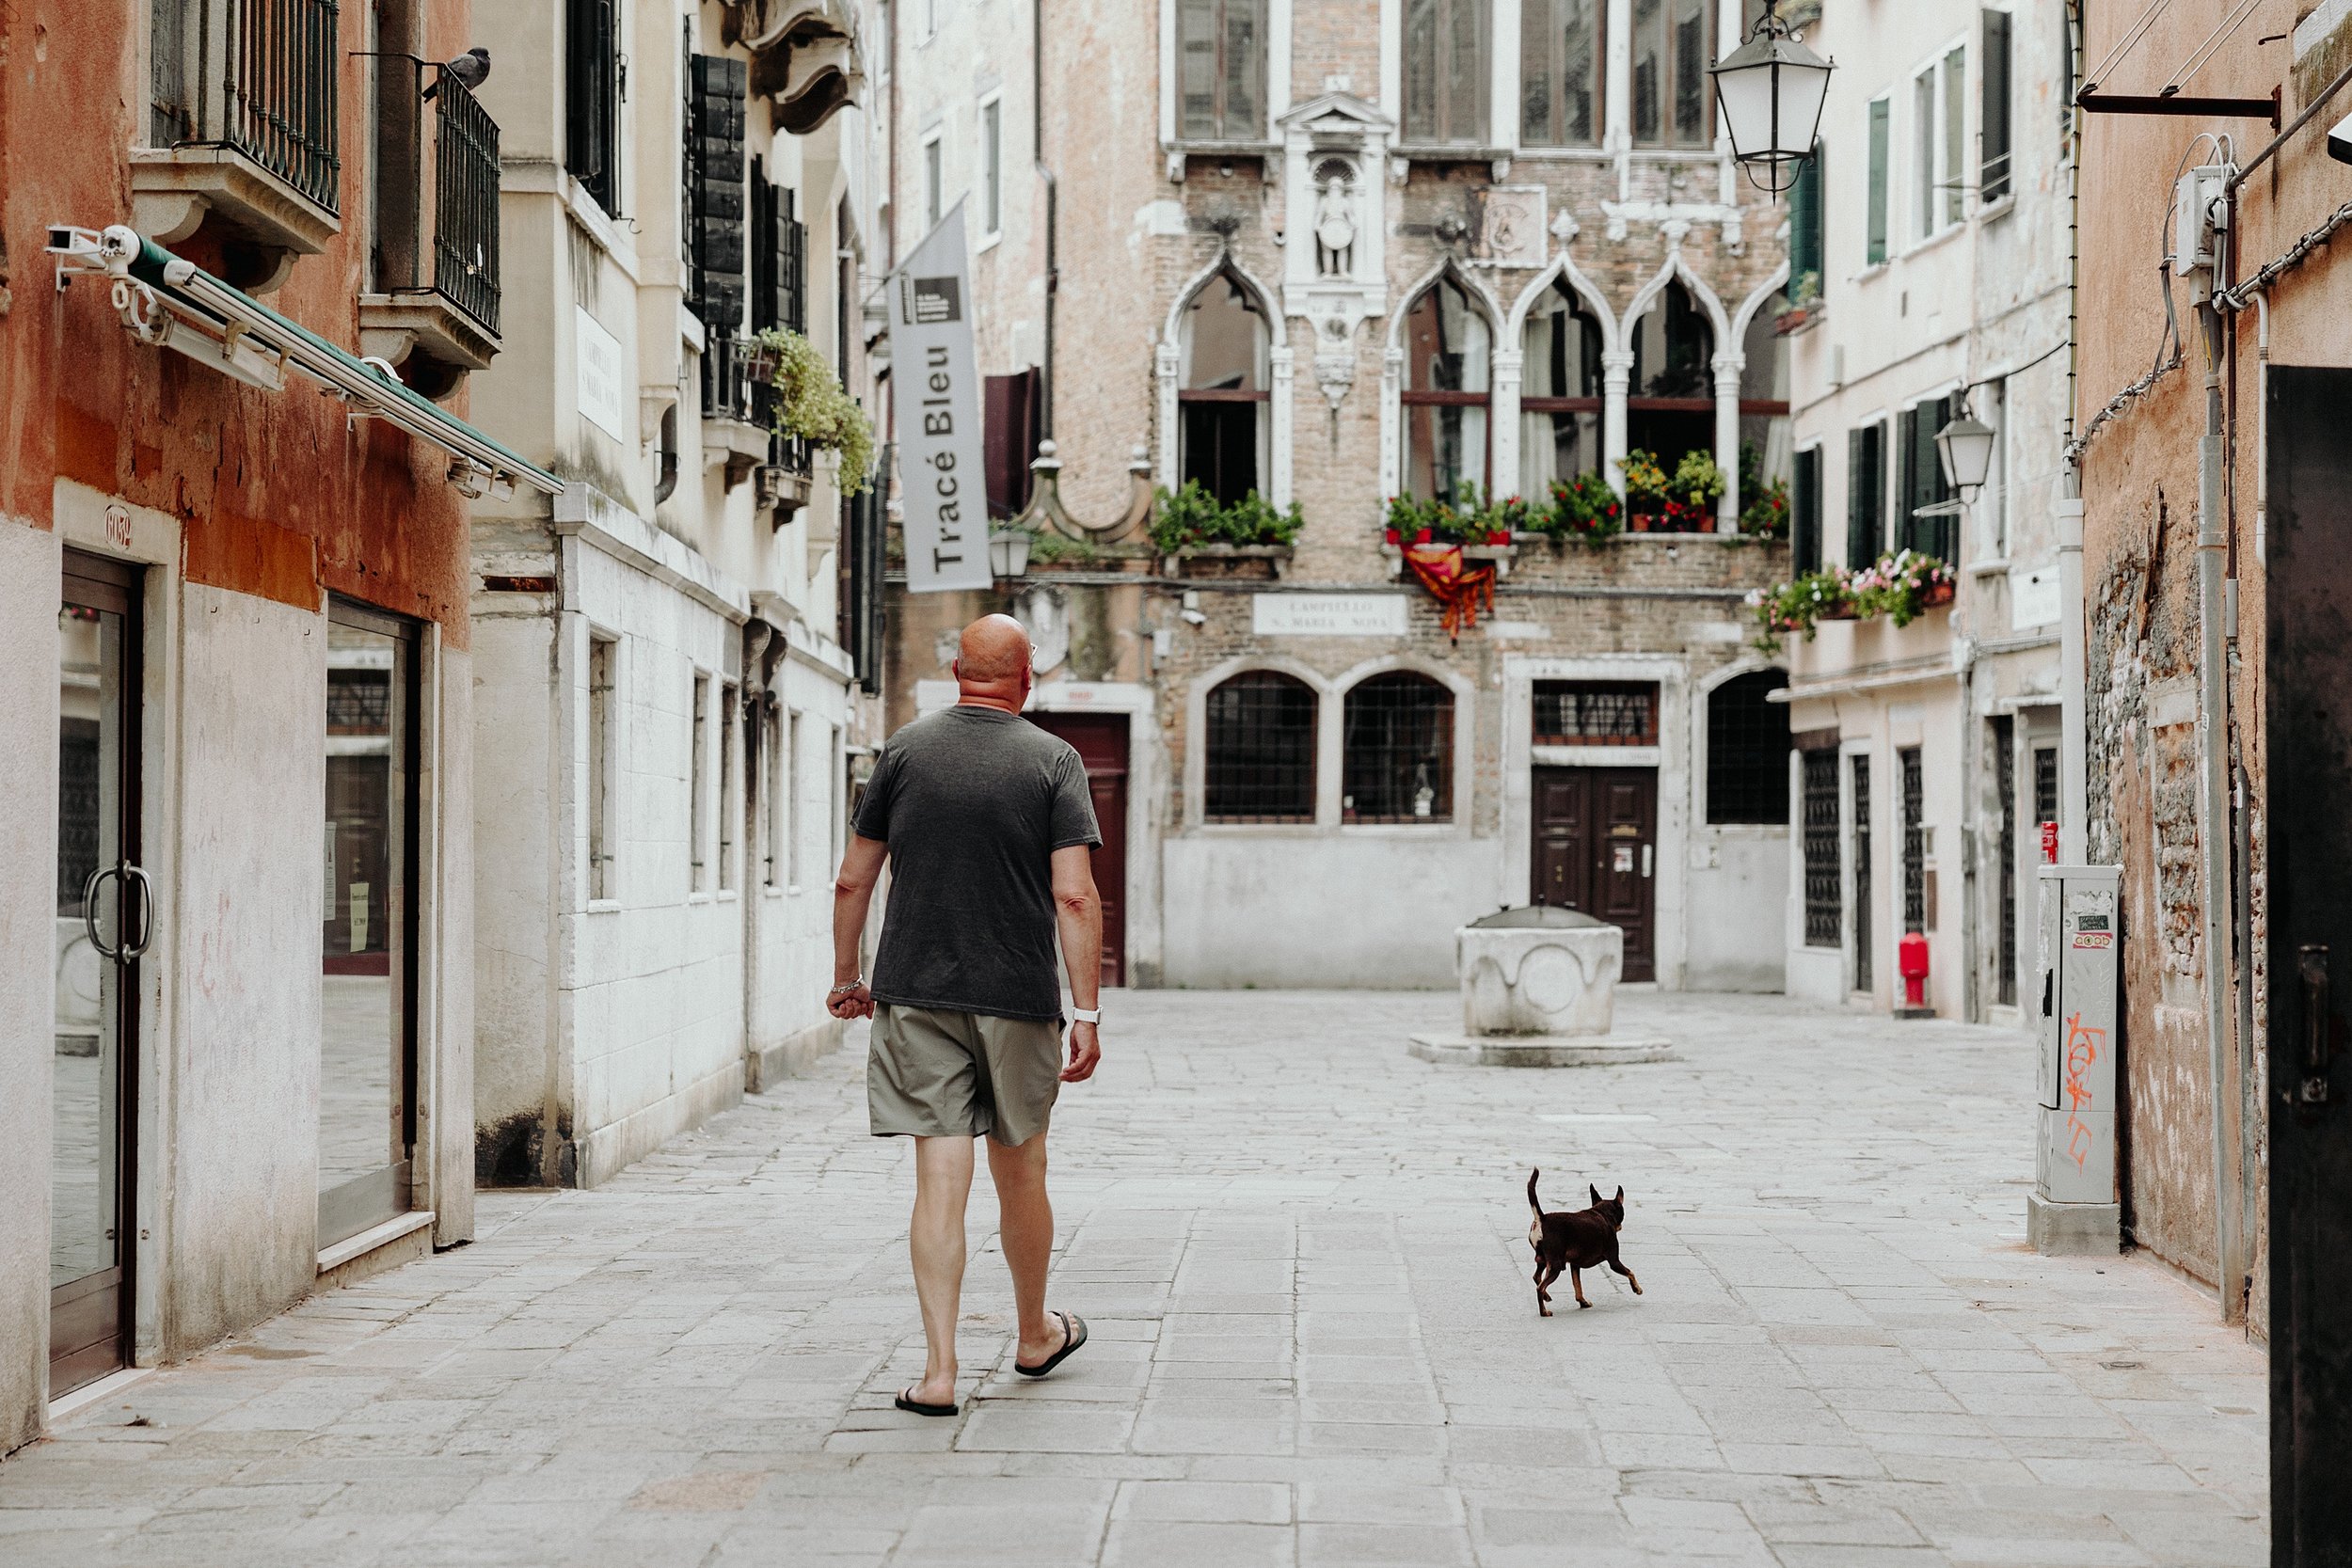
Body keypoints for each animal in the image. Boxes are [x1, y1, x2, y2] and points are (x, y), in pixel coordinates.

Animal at [1524, 1170, 1637, 1316]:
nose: (1620, 1226)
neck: (1602, 1213)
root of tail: (1542, 1219)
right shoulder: (1614, 1261)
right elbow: (1630, 1272)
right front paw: (1637, 1289)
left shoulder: (1575, 1265)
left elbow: (1578, 1287)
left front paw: (1583, 1302)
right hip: (1555, 1265)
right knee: (1540, 1287)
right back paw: (1544, 1311)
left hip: (1543, 1261)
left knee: (1537, 1278)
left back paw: (1546, 1297)